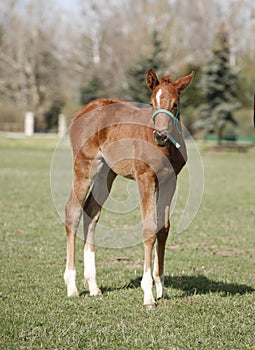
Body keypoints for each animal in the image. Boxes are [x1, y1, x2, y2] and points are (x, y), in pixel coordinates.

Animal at [63, 67, 193, 306]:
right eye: (151, 102)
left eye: (175, 104)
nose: (160, 136)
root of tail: (84, 110)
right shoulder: (145, 178)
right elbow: (149, 230)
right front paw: (148, 294)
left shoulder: (170, 181)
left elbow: (163, 229)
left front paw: (162, 289)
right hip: (85, 167)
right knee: (73, 211)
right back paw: (72, 286)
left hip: (106, 174)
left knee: (91, 213)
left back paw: (93, 286)